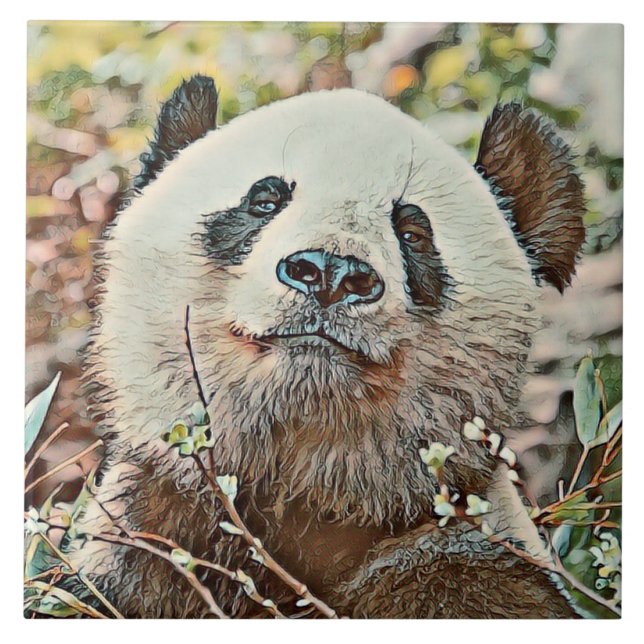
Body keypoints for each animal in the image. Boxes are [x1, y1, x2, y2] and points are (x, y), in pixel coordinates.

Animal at [70, 75, 586, 618]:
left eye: (413, 233)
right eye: (264, 202)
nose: (330, 273)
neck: (307, 491)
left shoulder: (463, 546)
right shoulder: (152, 532)